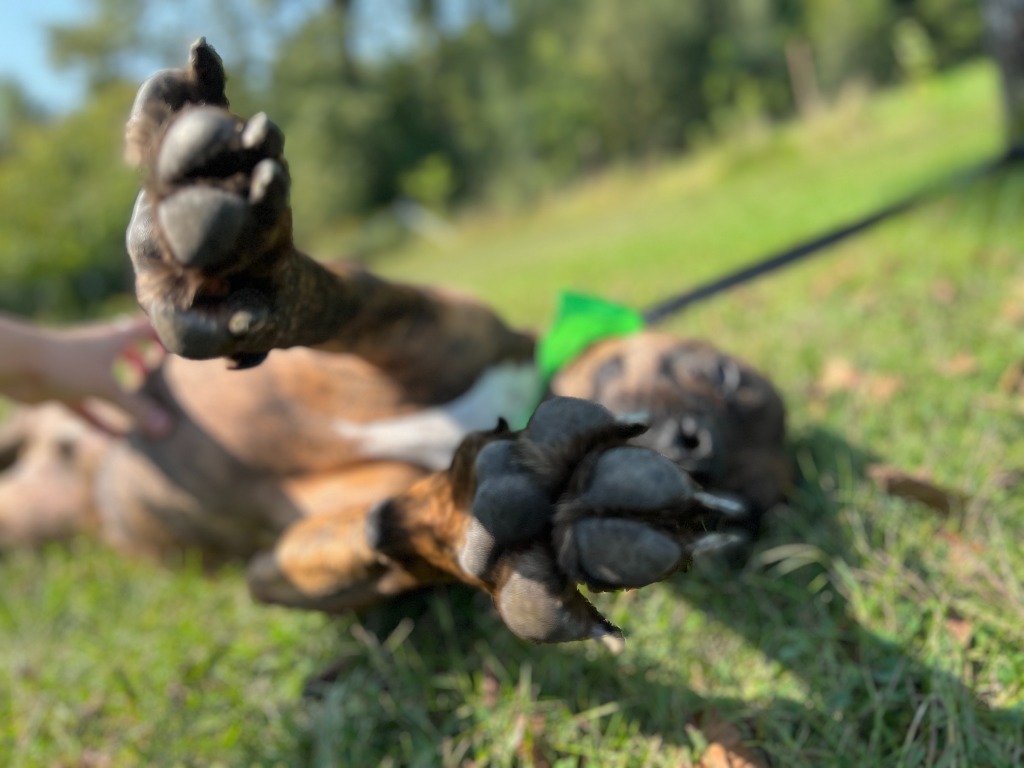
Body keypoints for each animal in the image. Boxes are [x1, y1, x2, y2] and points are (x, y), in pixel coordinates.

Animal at [0, 40, 786, 643]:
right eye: (719, 376)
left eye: (742, 517)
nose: (702, 447)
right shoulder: (423, 324)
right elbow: (343, 297)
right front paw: (249, 263)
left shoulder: (288, 561)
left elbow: (388, 534)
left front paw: (479, 521)